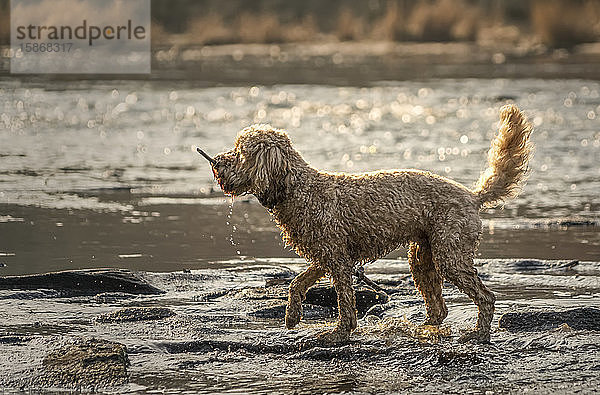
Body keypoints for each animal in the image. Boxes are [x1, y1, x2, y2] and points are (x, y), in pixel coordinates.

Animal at [203, 104, 536, 344]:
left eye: (240, 152)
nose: (216, 162)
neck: (297, 188)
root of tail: (472, 196)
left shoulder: (337, 260)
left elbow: (345, 302)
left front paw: (338, 333)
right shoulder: (326, 255)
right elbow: (297, 283)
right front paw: (292, 316)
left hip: (450, 255)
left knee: (486, 297)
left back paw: (478, 333)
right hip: (422, 257)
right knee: (439, 308)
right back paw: (421, 328)